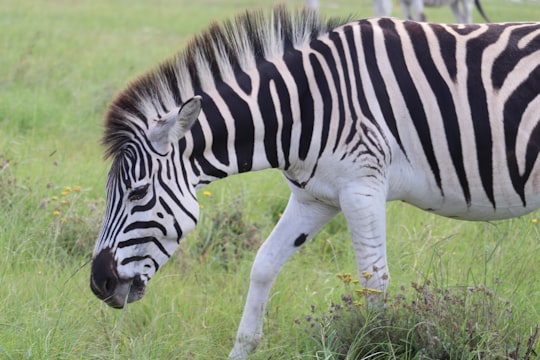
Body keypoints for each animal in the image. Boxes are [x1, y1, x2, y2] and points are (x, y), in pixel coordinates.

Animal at [89, 6, 540, 360]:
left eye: (138, 193)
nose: (99, 284)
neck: (303, 108)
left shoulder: (362, 186)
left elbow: (374, 282)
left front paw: (378, 344)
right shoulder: (314, 198)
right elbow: (263, 265)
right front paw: (242, 348)